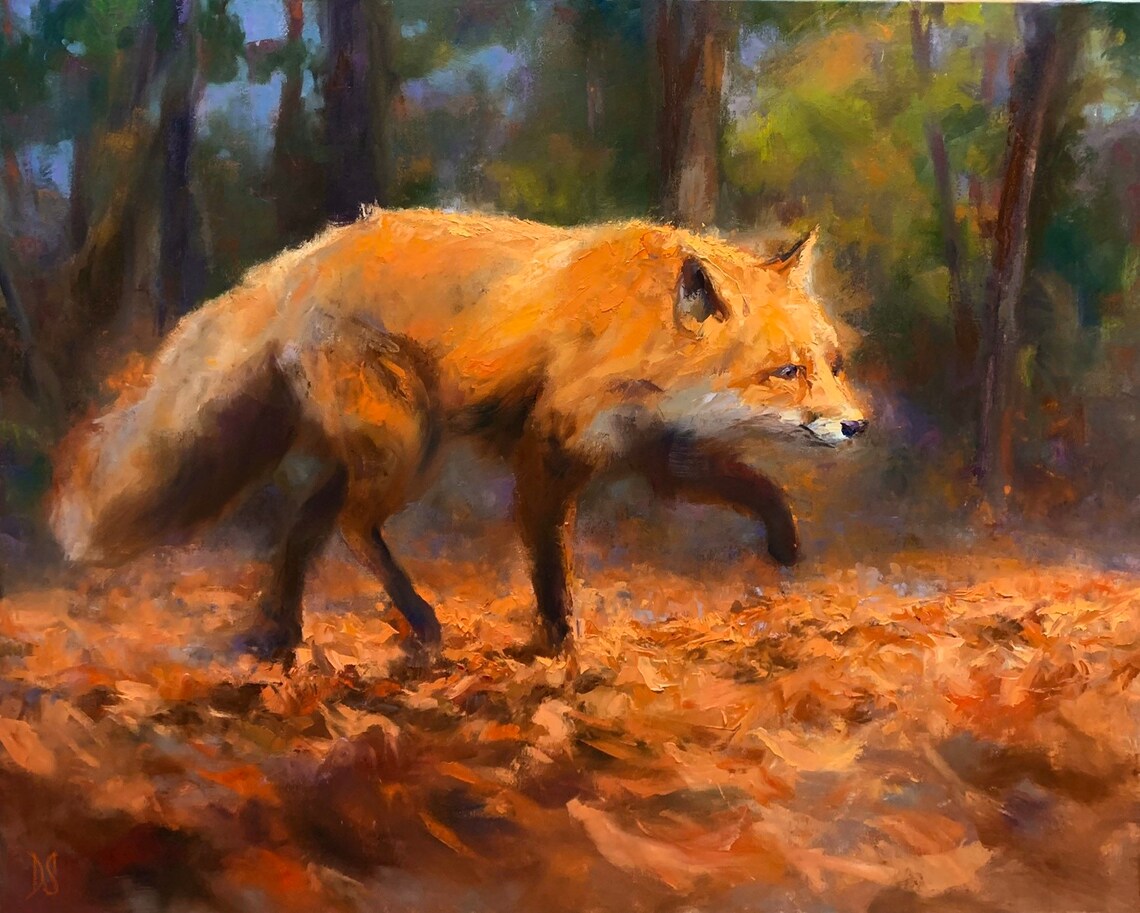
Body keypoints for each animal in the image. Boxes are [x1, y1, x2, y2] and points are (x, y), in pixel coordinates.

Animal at [49, 209, 867, 659]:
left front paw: (785, 541)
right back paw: (418, 623)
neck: (632, 328)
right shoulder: (548, 452)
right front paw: (560, 649)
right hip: (406, 449)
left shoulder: (656, 447)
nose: (857, 423)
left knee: (304, 529)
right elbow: (550, 570)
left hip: (380, 453)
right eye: (786, 372)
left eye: (831, 364)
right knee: (352, 528)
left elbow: (749, 482)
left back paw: (280, 636)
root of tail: (299, 263)